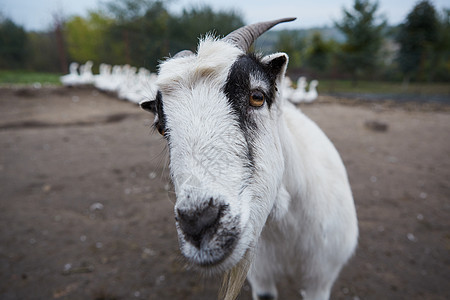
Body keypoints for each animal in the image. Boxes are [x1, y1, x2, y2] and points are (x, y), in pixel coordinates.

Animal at [141, 18, 358, 300]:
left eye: (257, 96)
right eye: (160, 128)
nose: (199, 225)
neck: (284, 227)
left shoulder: (320, 279)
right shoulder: (261, 276)